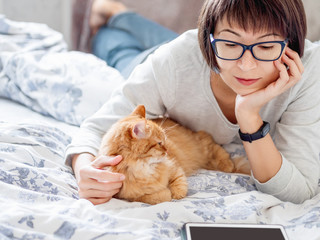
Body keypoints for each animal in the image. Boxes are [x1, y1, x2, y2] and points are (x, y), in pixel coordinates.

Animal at [99, 105, 249, 204]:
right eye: (159, 143)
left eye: (164, 140)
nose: (167, 151)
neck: (143, 168)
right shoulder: (128, 195)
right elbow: (156, 197)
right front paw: (166, 192)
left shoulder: (174, 167)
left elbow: (178, 183)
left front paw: (176, 194)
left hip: (202, 145)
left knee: (215, 149)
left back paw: (228, 165)